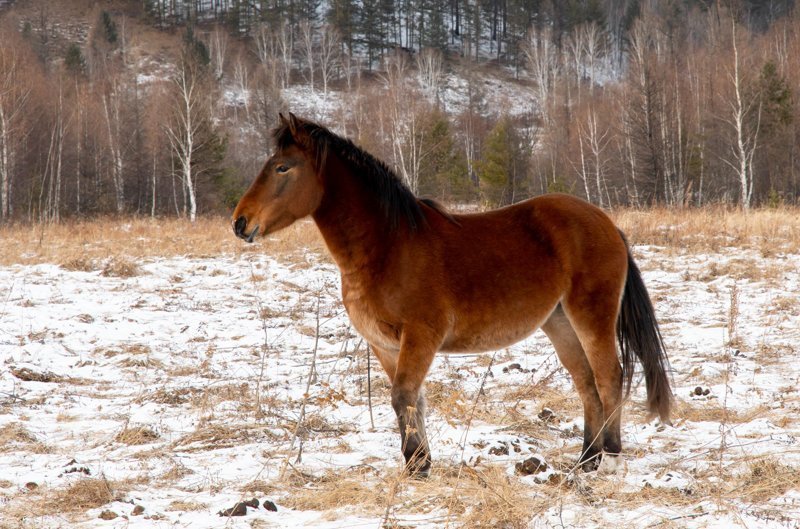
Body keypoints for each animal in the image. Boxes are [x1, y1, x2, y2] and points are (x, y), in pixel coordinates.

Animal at [234, 112, 672, 474]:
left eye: (282, 167)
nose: (240, 222)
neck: (388, 246)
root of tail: (608, 224)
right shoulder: (384, 345)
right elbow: (412, 401)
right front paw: (418, 463)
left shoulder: (421, 337)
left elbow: (403, 396)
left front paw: (418, 466)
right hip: (559, 322)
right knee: (586, 384)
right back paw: (585, 460)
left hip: (591, 317)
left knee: (609, 377)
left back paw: (610, 459)